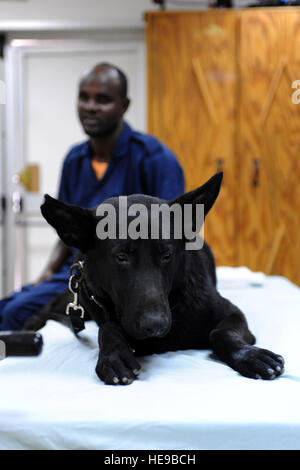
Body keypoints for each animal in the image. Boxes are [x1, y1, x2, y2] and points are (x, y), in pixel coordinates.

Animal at [29, 173, 284, 386]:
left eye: (166, 255)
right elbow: (109, 328)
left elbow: (219, 333)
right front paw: (114, 355)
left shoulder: (231, 313)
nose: (156, 326)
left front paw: (250, 355)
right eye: (121, 257)